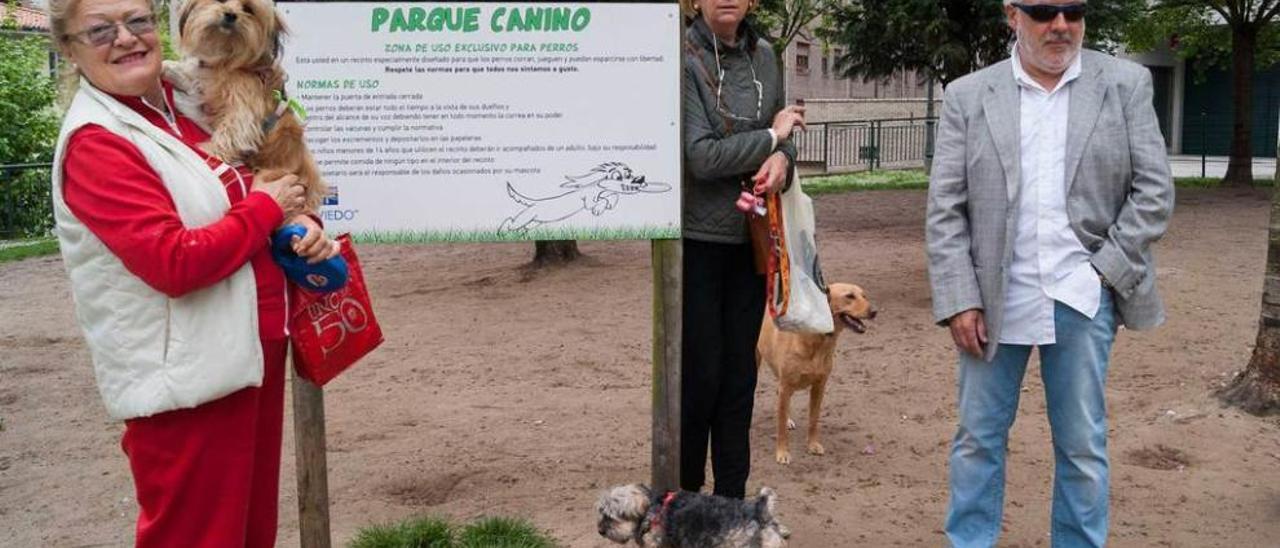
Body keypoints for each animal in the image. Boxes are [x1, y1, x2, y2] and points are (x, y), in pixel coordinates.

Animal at [167, 0, 327, 212]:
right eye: (220, 1)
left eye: (248, 9)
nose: (230, 15)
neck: (227, 59)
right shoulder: (204, 86)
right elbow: (186, 76)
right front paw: (166, 68)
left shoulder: (244, 108)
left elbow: (230, 130)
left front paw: (210, 150)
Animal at [752, 284, 875, 463]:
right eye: (849, 296)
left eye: (864, 296)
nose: (874, 311)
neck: (818, 340)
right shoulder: (786, 384)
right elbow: (780, 429)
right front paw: (782, 453)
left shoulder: (819, 387)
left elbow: (813, 420)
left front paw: (813, 445)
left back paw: (788, 420)